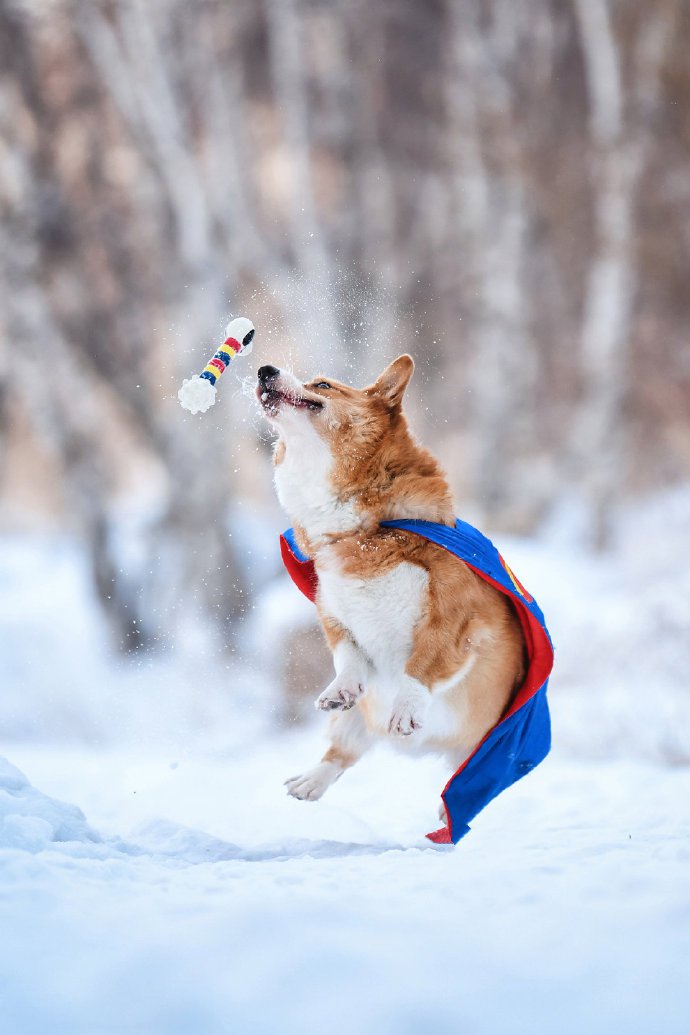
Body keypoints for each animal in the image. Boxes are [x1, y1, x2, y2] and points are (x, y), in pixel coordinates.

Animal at [256, 356, 525, 823]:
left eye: (323, 385)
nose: (263, 370)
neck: (364, 531)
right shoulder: (334, 612)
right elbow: (347, 657)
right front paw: (340, 689)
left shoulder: (457, 621)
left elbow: (421, 667)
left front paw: (406, 711)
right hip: (358, 723)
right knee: (342, 751)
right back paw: (309, 782)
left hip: (482, 752)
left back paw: (451, 811)